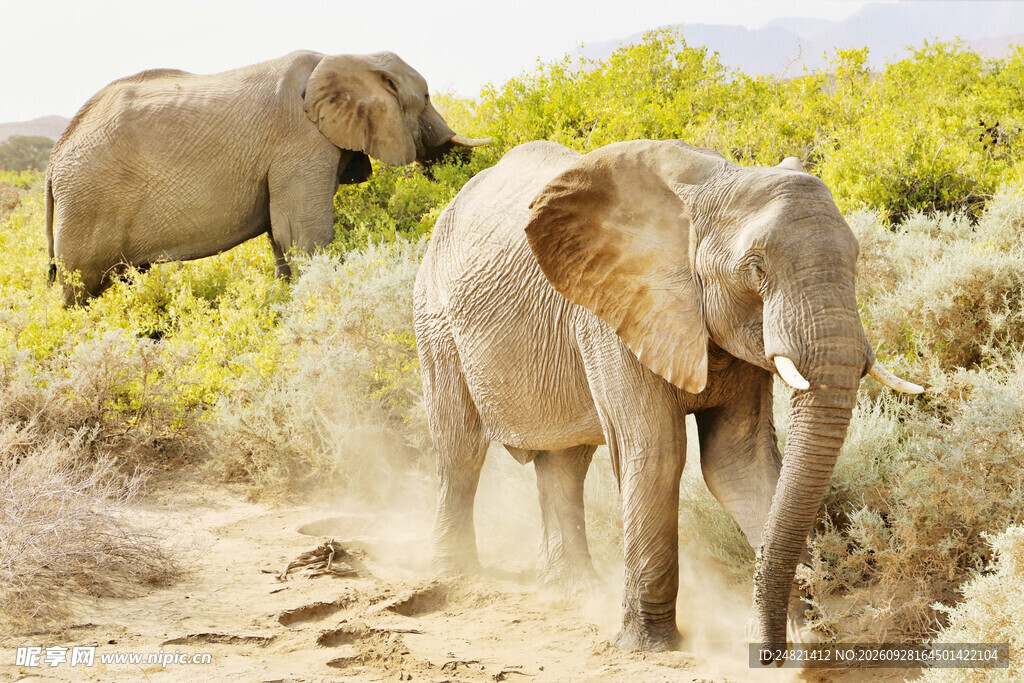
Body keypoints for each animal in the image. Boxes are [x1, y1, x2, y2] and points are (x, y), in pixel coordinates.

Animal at [45, 50, 487, 305]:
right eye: (426, 97)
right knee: (80, 288)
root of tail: (52, 162)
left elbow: (282, 233)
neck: (348, 56)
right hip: (88, 203)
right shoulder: (300, 142)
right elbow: (304, 234)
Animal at [412, 140, 923, 661]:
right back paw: (456, 576)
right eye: (756, 268)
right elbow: (657, 452)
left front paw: (797, 639)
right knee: (460, 447)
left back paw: (571, 592)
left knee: (565, 462)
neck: (713, 185)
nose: (767, 651)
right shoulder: (613, 312)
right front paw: (649, 646)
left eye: (856, 258)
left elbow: (739, 462)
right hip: (434, 317)